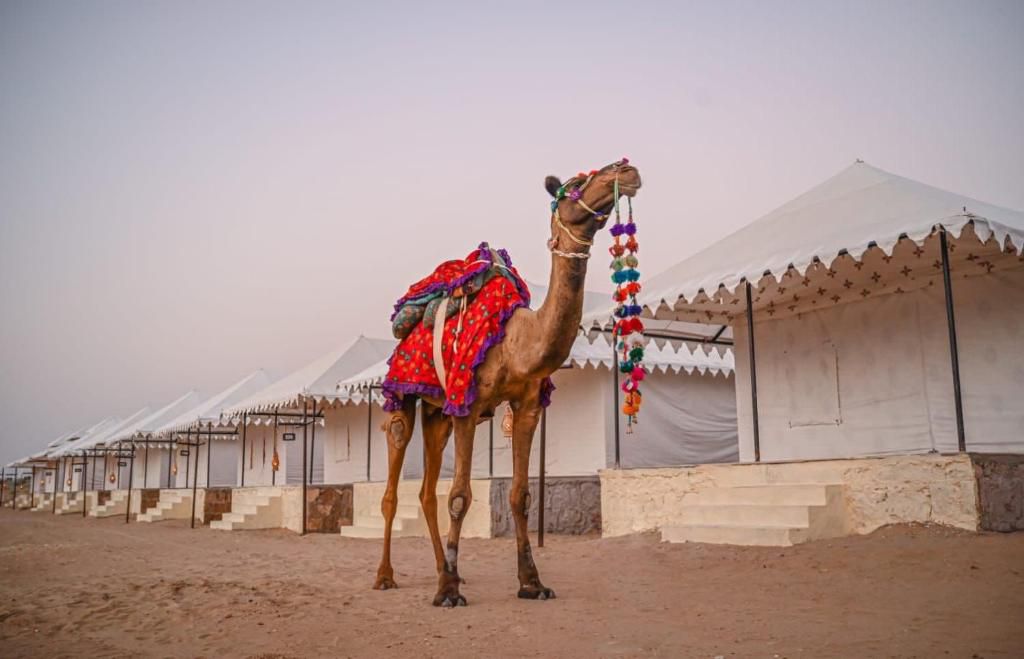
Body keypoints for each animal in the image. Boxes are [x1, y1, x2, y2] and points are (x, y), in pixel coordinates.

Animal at [374, 159, 642, 606]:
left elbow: (521, 495)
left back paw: (442, 569)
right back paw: (386, 576)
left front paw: (531, 582)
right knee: (394, 482)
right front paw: (448, 593)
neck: (517, 342)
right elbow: (460, 496)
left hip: (438, 414)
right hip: (405, 395)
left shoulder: (527, 405)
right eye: (574, 184)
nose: (625, 168)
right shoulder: (467, 403)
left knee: (427, 492)